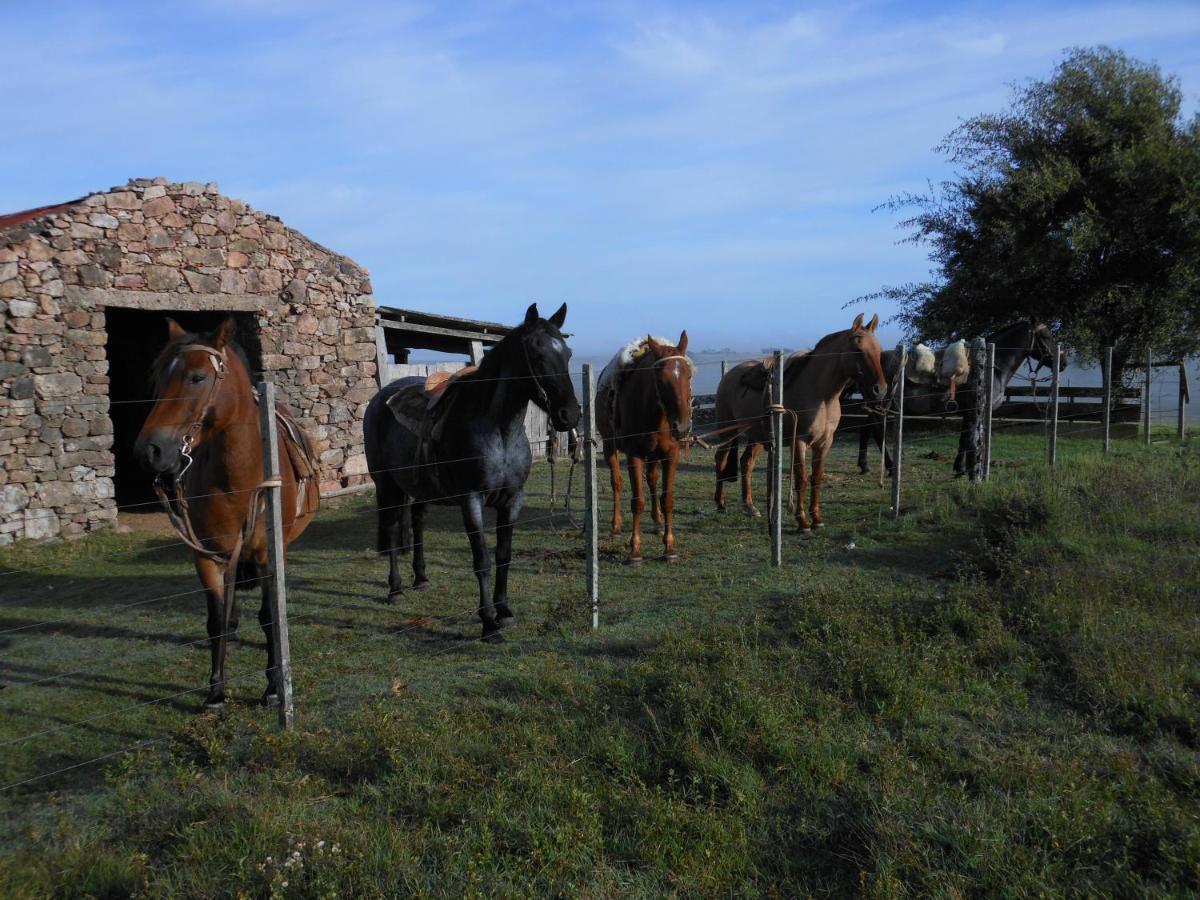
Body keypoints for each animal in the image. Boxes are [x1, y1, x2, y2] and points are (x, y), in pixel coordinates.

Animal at [134, 316, 319, 710]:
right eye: (157, 377)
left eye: (197, 377)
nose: (149, 450)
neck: (241, 479)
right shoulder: (206, 555)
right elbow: (215, 620)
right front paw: (215, 692)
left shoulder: (266, 554)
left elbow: (268, 617)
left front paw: (273, 688)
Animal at [362, 303, 583, 643]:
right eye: (537, 354)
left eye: (568, 353)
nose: (569, 414)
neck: (498, 430)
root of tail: (379, 400)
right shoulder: (471, 499)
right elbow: (482, 560)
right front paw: (488, 623)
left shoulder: (512, 500)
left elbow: (504, 555)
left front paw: (504, 612)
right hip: (386, 484)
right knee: (392, 527)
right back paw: (395, 590)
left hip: (418, 488)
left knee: (417, 520)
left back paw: (421, 578)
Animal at [597, 336, 696, 564]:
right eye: (660, 379)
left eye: (688, 375)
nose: (682, 426)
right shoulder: (634, 455)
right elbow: (637, 501)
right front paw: (635, 550)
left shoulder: (670, 455)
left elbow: (667, 499)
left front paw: (669, 547)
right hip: (609, 446)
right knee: (616, 482)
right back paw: (616, 526)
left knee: (652, 479)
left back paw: (658, 522)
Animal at [710, 314, 892, 532]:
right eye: (858, 349)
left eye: (879, 350)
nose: (880, 390)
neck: (821, 395)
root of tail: (730, 375)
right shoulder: (799, 442)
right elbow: (802, 480)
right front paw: (803, 522)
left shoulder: (824, 443)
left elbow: (817, 478)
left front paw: (817, 519)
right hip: (728, 431)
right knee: (721, 460)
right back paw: (720, 503)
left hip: (758, 435)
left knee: (746, 463)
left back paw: (750, 506)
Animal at [849, 321, 1065, 480]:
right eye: (1046, 336)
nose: (1063, 363)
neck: (990, 367)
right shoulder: (973, 410)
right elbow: (969, 439)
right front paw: (968, 469)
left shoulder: (967, 413)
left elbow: (963, 439)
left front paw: (960, 468)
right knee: (877, 432)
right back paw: (891, 467)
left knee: (866, 429)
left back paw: (865, 466)